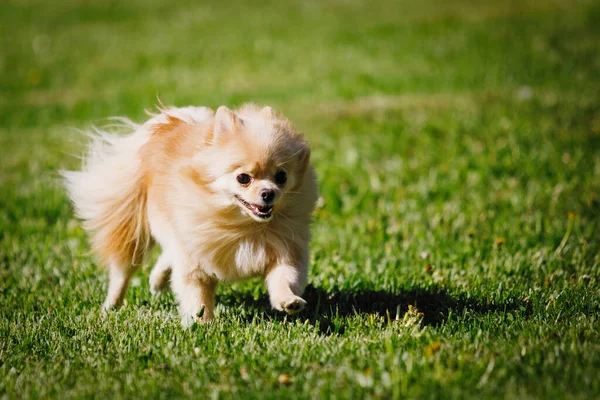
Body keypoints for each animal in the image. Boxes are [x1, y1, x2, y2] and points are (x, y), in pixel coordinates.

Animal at [62, 104, 318, 324]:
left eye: (281, 176)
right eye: (243, 178)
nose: (268, 193)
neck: (244, 226)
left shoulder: (285, 250)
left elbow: (285, 276)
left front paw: (288, 300)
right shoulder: (196, 255)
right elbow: (197, 295)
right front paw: (203, 325)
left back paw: (157, 280)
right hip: (134, 226)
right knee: (123, 272)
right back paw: (110, 306)